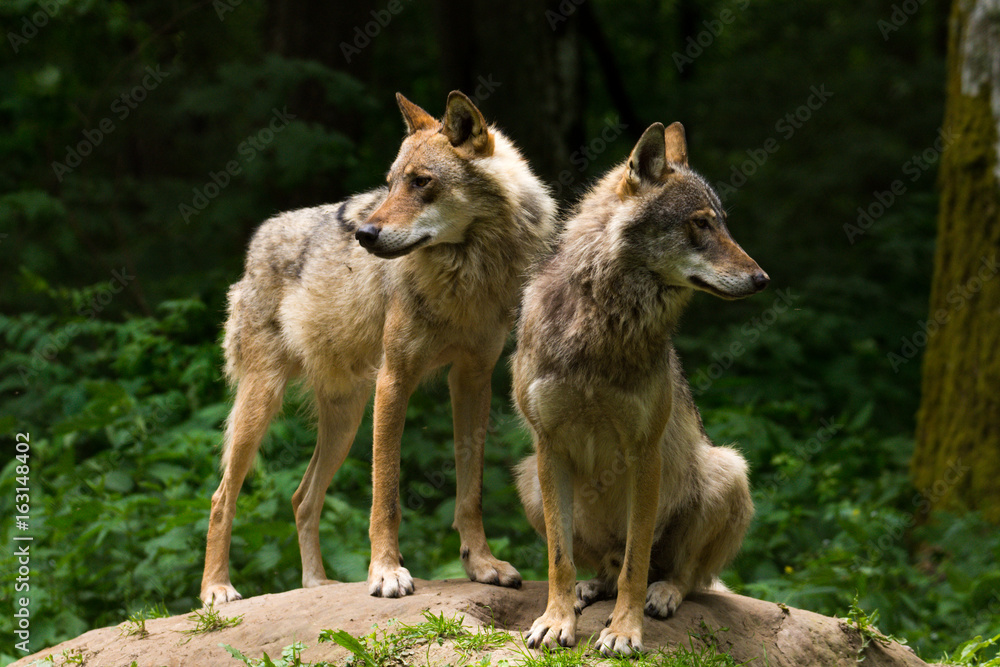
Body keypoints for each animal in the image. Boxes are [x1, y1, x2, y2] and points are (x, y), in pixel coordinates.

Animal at [203, 91, 560, 608]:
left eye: (422, 182)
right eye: (390, 184)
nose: (364, 235)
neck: (466, 273)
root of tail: (257, 241)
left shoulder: (473, 380)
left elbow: (469, 491)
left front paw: (483, 565)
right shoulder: (395, 378)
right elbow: (385, 496)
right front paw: (386, 573)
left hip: (346, 420)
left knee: (301, 498)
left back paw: (317, 585)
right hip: (263, 405)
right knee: (221, 497)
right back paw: (216, 589)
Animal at [512, 122, 768, 656]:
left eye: (723, 224)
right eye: (701, 224)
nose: (762, 278)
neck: (602, 320)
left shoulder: (643, 452)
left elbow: (637, 562)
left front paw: (624, 632)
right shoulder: (548, 447)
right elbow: (559, 559)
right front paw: (555, 621)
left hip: (728, 469)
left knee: (684, 576)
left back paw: (663, 593)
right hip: (527, 479)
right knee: (607, 566)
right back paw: (590, 588)